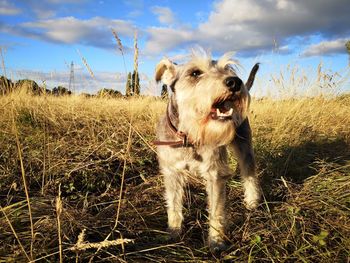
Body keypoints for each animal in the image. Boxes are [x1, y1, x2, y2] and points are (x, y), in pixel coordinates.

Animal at [154, 50, 260, 252]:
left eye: (228, 69)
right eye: (195, 73)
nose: (235, 82)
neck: (188, 136)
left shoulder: (214, 174)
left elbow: (216, 211)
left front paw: (216, 241)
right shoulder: (171, 173)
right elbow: (173, 204)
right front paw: (174, 232)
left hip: (245, 148)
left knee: (249, 174)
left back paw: (252, 202)